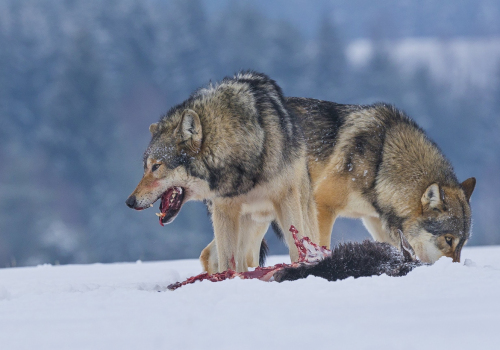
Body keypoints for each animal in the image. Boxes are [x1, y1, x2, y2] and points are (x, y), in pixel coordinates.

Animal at [126, 72, 320, 274]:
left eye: (156, 166)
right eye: (145, 167)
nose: (130, 201)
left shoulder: (286, 201)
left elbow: (297, 250)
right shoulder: (223, 210)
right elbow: (227, 263)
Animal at [203, 97, 476, 266]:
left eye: (463, 243)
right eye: (448, 240)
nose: (454, 270)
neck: (380, 162)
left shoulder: (375, 220)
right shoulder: (322, 206)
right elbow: (321, 245)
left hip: (261, 217)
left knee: (222, 257)